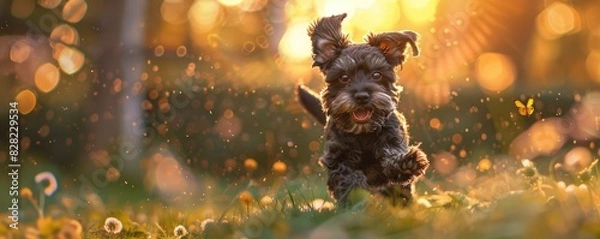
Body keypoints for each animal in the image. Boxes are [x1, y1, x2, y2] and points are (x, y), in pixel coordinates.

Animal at [298, 13, 428, 204]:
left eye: (377, 75)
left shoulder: (392, 140)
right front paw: (356, 201)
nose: (361, 97)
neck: (364, 133)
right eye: (344, 77)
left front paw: (405, 164)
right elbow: (349, 180)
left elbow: (391, 158)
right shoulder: (339, 159)